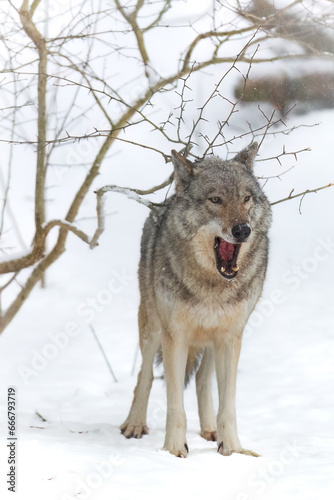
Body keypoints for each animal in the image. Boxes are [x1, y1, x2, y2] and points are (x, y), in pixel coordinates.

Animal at [120, 144, 272, 458]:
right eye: (216, 199)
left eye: (246, 198)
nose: (243, 230)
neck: (212, 287)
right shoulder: (174, 335)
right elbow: (174, 403)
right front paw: (174, 450)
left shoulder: (231, 336)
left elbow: (228, 404)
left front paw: (233, 449)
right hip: (152, 328)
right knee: (145, 374)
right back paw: (135, 423)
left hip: (213, 339)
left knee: (203, 379)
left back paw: (210, 430)